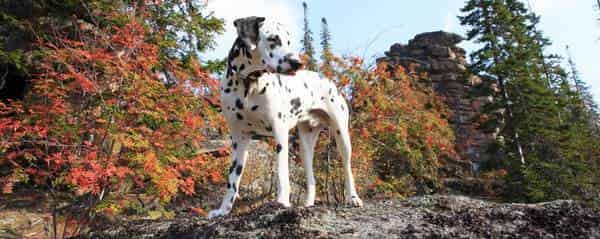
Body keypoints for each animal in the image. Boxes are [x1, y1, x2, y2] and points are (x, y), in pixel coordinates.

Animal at [209, 16, 364, 218]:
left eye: (289, 41)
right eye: (273, 39)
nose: (297, 63)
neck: (249, 85)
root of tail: (327, 80)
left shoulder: (280, 133)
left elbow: (282, 175)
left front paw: (282, 202)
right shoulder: (238, 139)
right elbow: (232, 180)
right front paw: (223, 210)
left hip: (342, 136)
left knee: (347, 168)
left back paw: (353, 198)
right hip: (305, 147)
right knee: (311, 180)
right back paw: (307, 205)